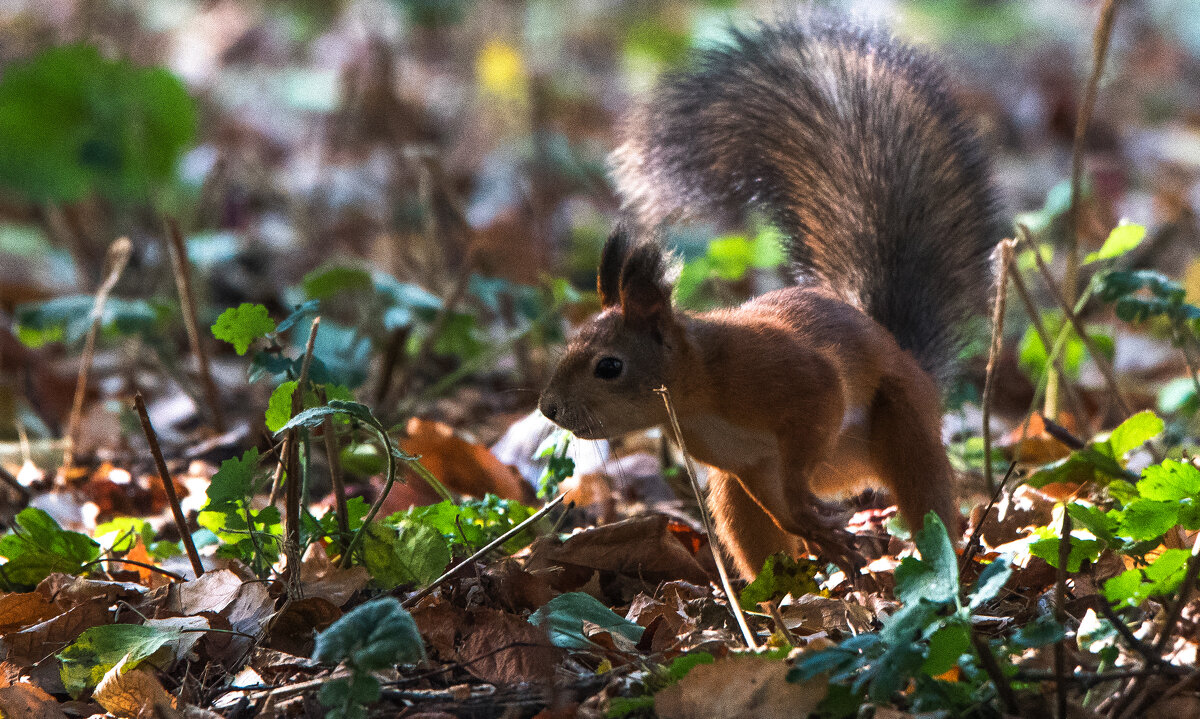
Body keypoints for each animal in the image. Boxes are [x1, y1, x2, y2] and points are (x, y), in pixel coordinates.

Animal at [540, 16, 998, 578]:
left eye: (609, 366)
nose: (549, 408)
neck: (697, 388)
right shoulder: (743, 464)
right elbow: (772, 497)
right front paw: (812, 530)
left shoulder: (790, 377)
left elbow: (814, 418)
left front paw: (806, 506)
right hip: (731, 496)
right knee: (755, 534)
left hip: (903, 422)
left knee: (924, 495)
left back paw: (943, 563)